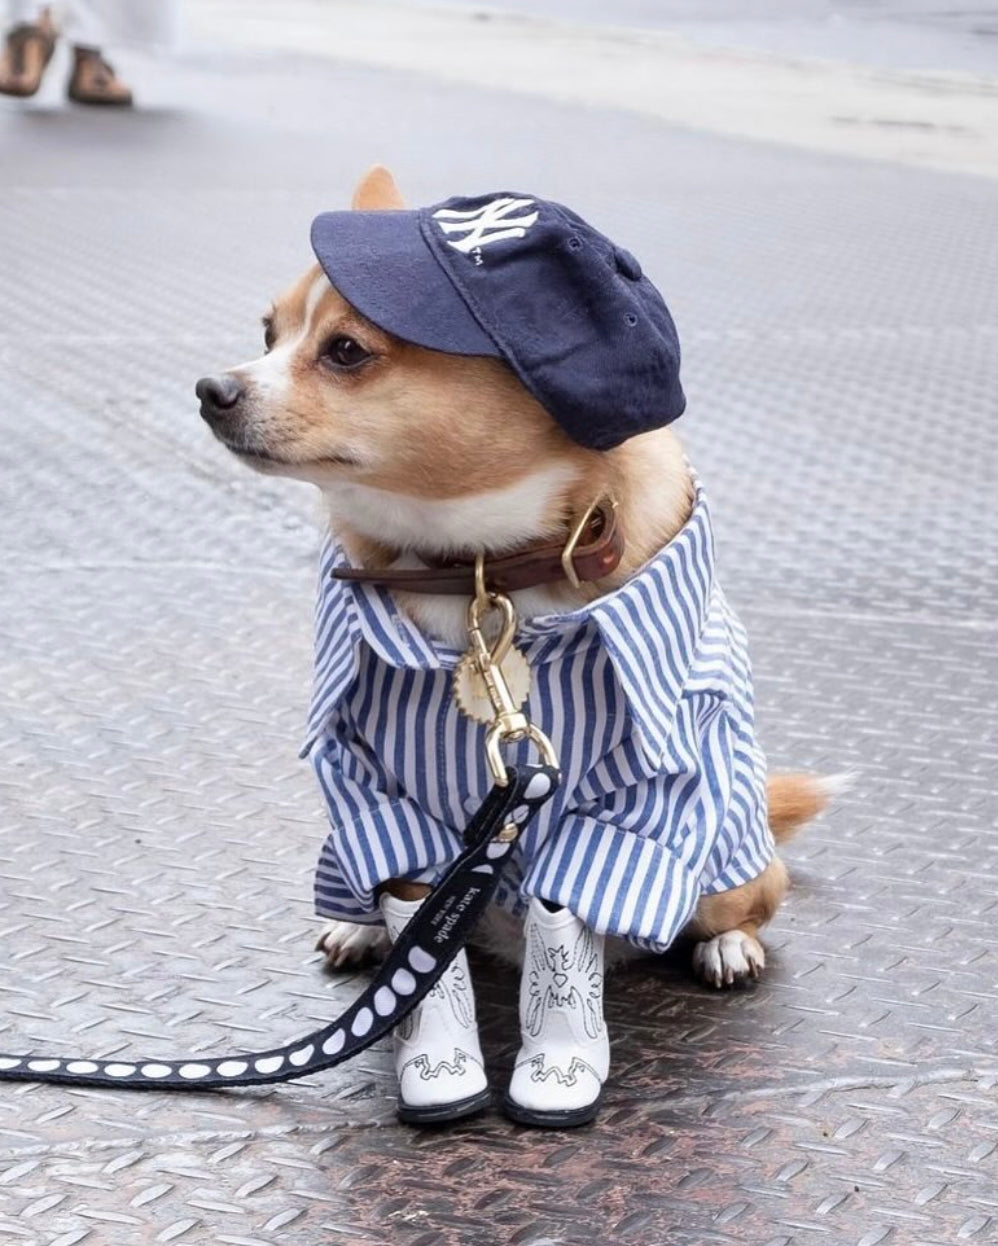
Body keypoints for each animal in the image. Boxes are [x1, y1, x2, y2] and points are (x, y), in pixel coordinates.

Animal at [194, 165, 832, 1131]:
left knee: (735, 906)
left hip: (729, 863)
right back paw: (358, 928)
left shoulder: (637, 792)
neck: (476, 572)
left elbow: (569, 908)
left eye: (345, 353)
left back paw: (726, 948)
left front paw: (560, 1055)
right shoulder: (372, 784)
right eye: (267, 334)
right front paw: (430, 1045)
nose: (212, 388)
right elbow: (415, 920)